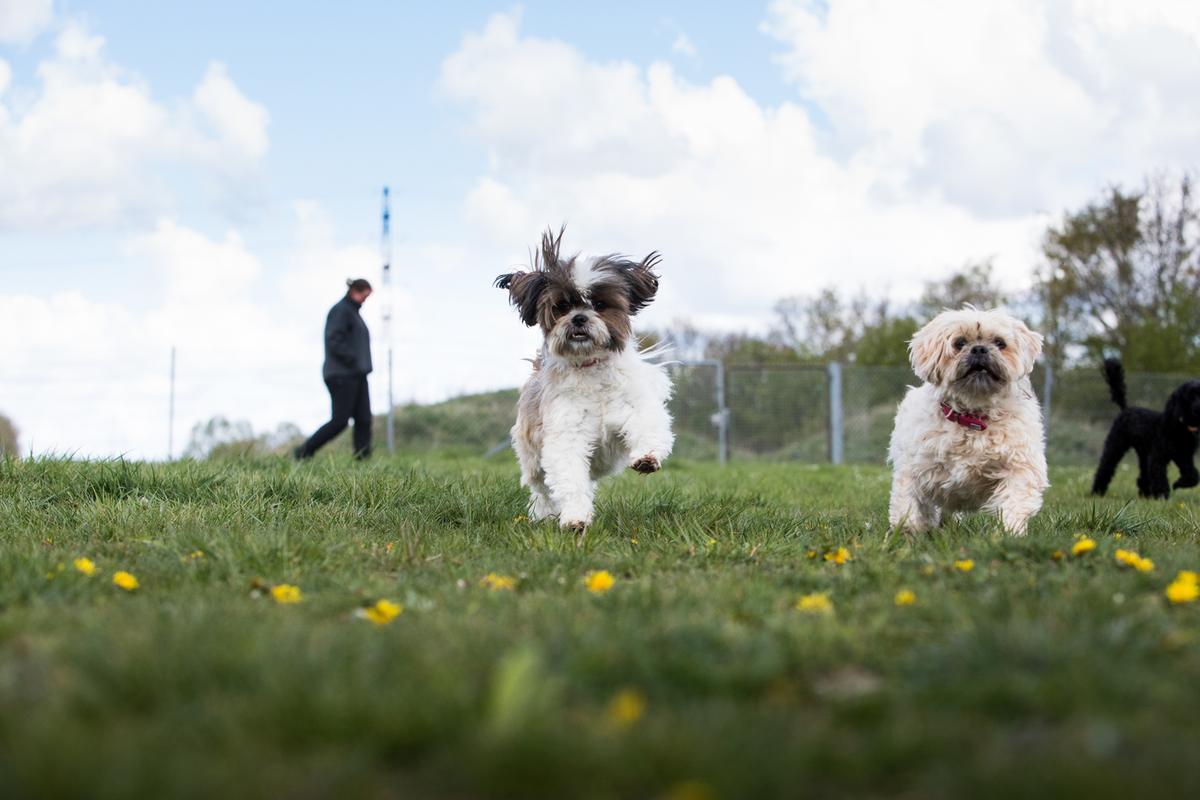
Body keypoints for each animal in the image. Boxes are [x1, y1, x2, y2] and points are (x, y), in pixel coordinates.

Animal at [494, 227, 676, 534]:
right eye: (561, 306)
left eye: (600, 305)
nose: (579, 318)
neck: (591, 368)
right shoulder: (566, 431)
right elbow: (569, 479)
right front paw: (575, 518)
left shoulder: (635, 405)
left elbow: (647, 427)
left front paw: (647, 457)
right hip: (532, 457)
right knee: (541, 489)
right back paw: (545, 513)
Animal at [888, 307, 1046, 537]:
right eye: (959, 343)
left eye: (1000, 343)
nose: (979, 349)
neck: (973, 416)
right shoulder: (913, 471)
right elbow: (909, 507)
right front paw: (911, 534)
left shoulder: (1019, 466)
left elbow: (1014, 502)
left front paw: (1010, 532)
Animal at [1094, 359, 1200, 496]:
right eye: (1191, 396)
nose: (1198, 407)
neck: (1179, 427)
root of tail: (1125, 409)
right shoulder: (1158, 457)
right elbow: (1160, 477)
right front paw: (1162, 496)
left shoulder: (1185, 456)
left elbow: (1193, 475)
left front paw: (1177, 484)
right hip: (1115, 445)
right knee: (1105, 467)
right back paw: (1096, 492)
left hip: (1143, 453)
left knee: (1143, 475)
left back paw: (1145, 494)